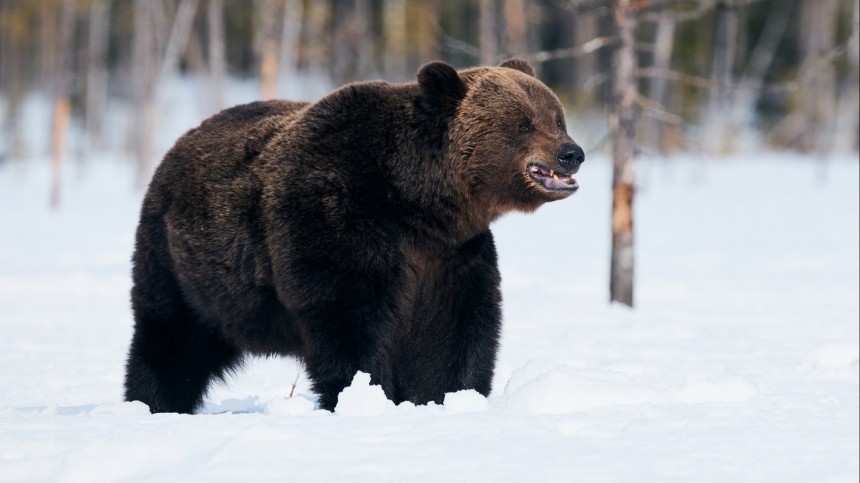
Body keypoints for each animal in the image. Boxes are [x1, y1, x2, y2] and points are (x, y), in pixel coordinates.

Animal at [122, 58, 584, 414]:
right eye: (523, 124)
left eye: (556, 117)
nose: (571, 152)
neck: (415, 202)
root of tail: (179, 144)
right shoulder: (336, 220)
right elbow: (349, 320)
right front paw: (364, 396)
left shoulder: (450, 257)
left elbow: (454, 332)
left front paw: (446, 397)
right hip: (181, 266)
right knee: (169, 340)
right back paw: (153, 403)